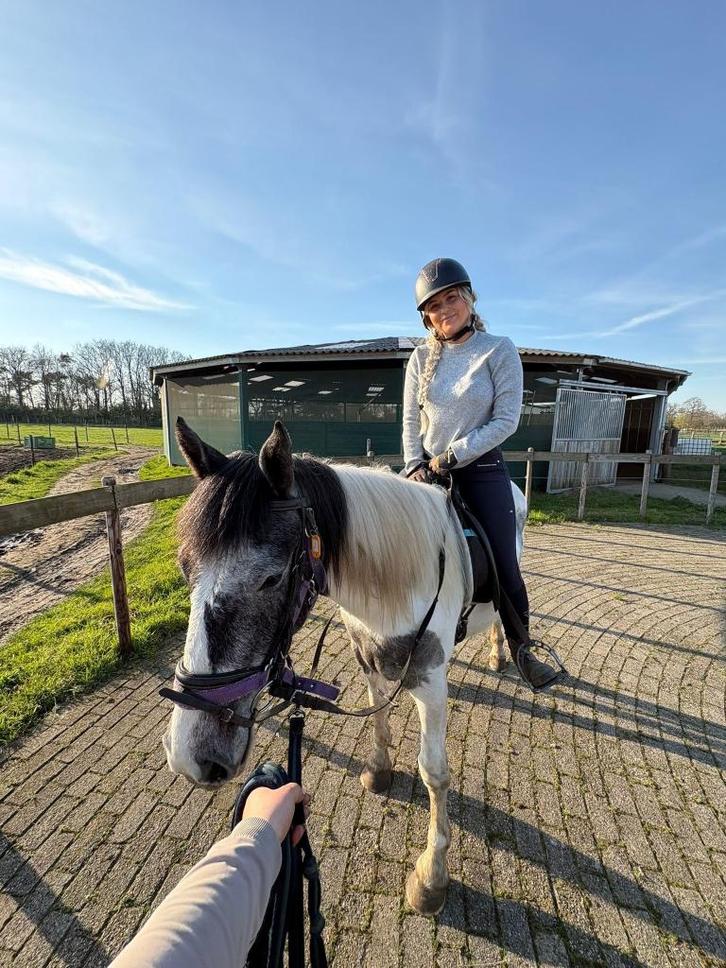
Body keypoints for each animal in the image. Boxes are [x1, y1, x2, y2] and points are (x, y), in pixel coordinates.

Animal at [162, 417, 526, 916]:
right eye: (184, 567)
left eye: (271, 578)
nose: (191, 755)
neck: (399, 578)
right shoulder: (368, 657)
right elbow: (379, 719)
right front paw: (379, 770)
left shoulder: (431, 683)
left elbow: (434, 772)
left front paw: (431, 876)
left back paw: (504, 653)